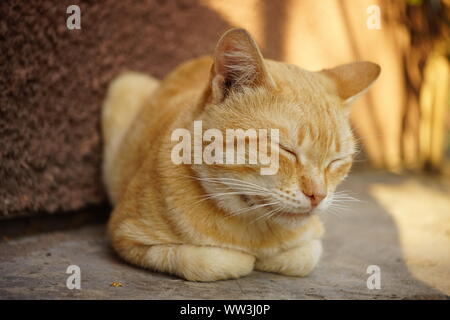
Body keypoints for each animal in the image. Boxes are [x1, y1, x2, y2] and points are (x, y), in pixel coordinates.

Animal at [102, 28, 380, 282]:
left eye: (337, 161)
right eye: (286, 149)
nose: (318, 196)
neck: (254, 229)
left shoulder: (312, 239)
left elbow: (304, 257)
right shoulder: (126, 236)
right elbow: (211, 261)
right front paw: (244, 260)